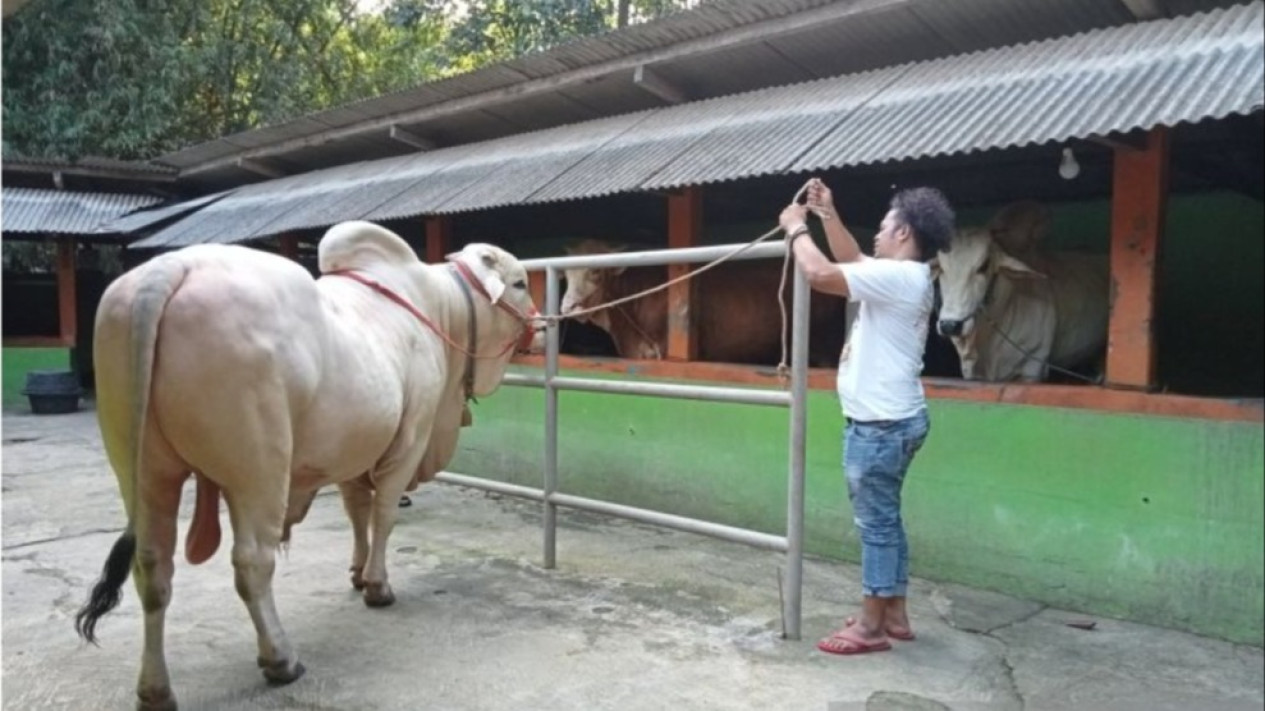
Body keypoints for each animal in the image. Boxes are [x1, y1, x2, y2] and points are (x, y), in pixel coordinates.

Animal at [74, 221, 538, 708]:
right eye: (520, 283)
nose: (540, 328)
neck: (439, 310)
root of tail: (167, 268)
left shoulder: (355, 448)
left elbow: (356, 511)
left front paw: (357, 573)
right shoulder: (409, 440)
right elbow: (383, 515)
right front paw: (377, 585)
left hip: (143, 471)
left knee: (152, 568)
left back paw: (156, 689)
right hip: (258, 470)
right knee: (252, 564)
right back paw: (280, 659)